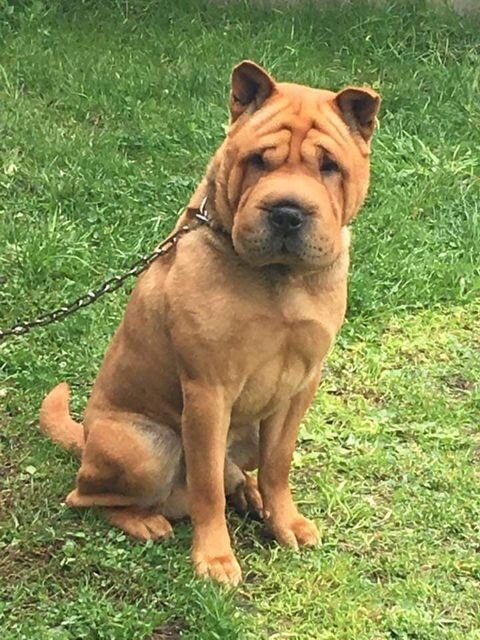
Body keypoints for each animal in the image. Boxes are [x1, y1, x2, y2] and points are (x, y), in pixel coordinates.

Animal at [40, 61, 380, 586]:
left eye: (329, 166)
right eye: (259, 160)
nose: (287, 212)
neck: (278, 279)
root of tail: (87, 438)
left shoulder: (300, 386)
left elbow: (279, 464)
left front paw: (284, 521)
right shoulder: (207, 390)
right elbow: (206, 488)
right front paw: (215, 558)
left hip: (247, 433)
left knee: (239, 472)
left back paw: (251, 496)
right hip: (145, 446)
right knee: (88, 496)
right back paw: (145, 521)